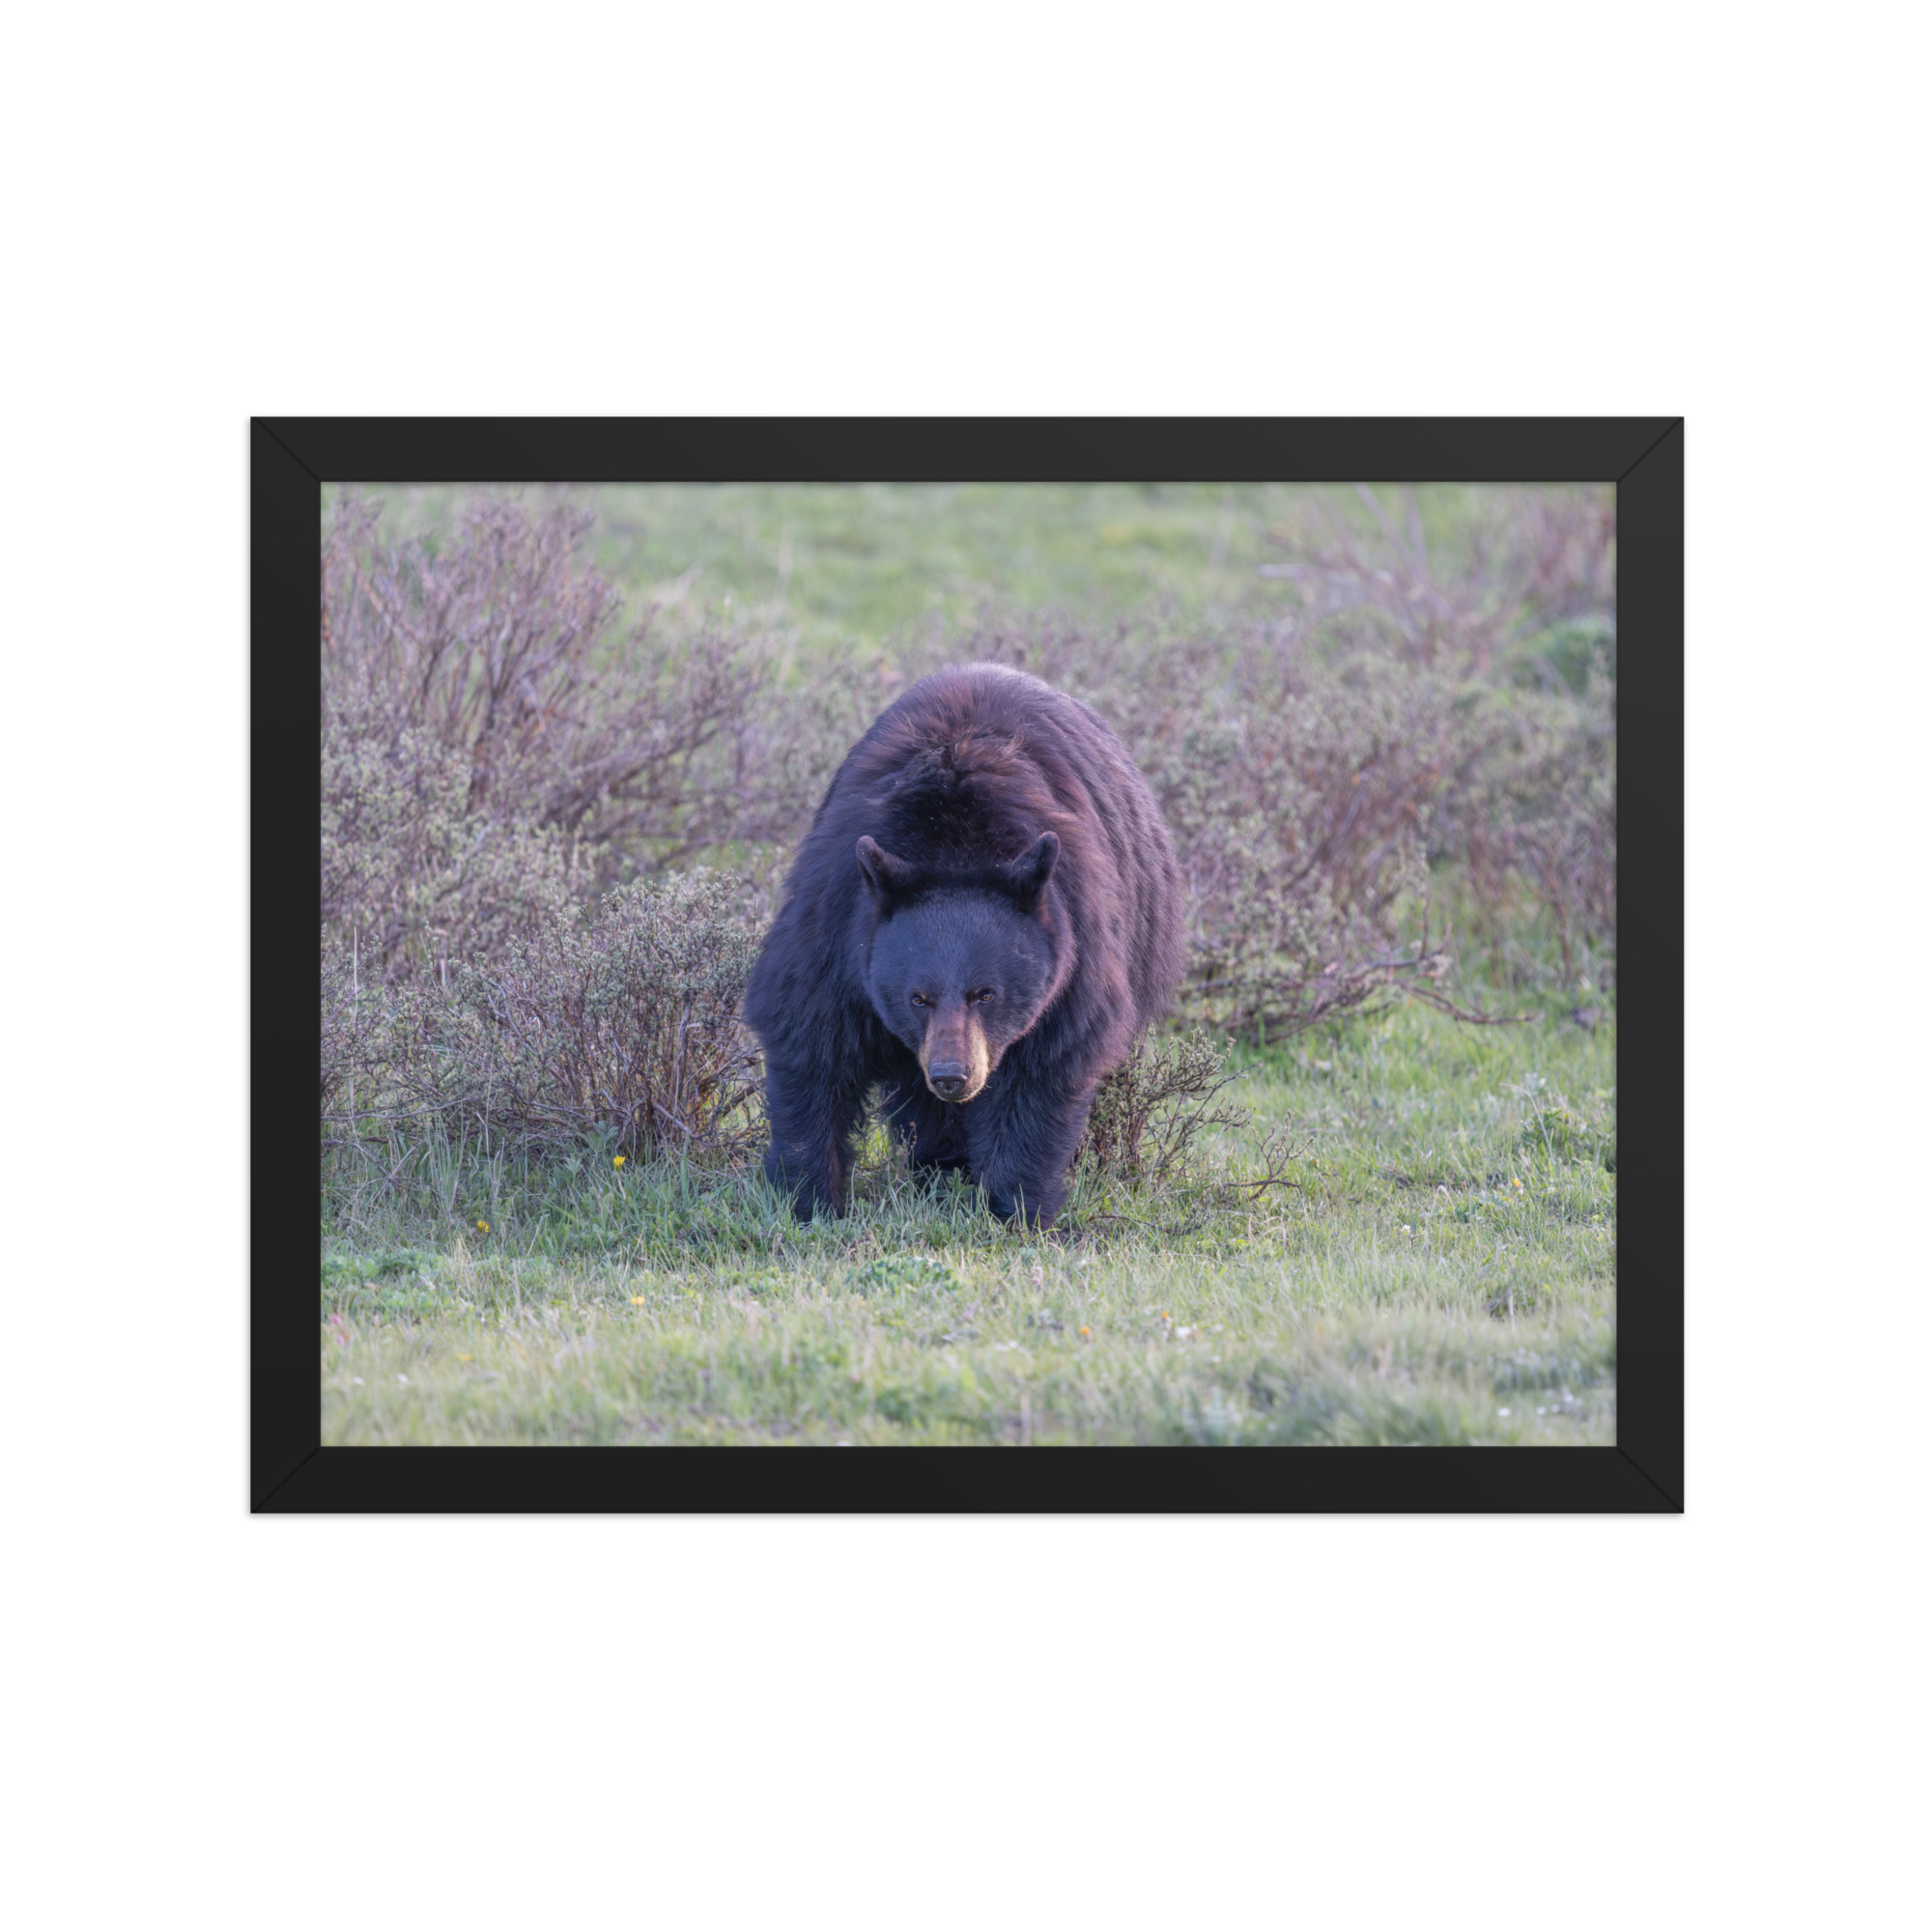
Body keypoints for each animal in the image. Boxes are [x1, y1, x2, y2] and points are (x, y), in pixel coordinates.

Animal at [742, 662, 1186, 1228]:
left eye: (986, 994)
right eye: (917, 997)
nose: (953, 1076)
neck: (953, 843)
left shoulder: (1075, 944)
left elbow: (1044, 1069)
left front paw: (1018, 1209)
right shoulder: (837, 922)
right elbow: (810, 1041)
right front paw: (808, 1199)